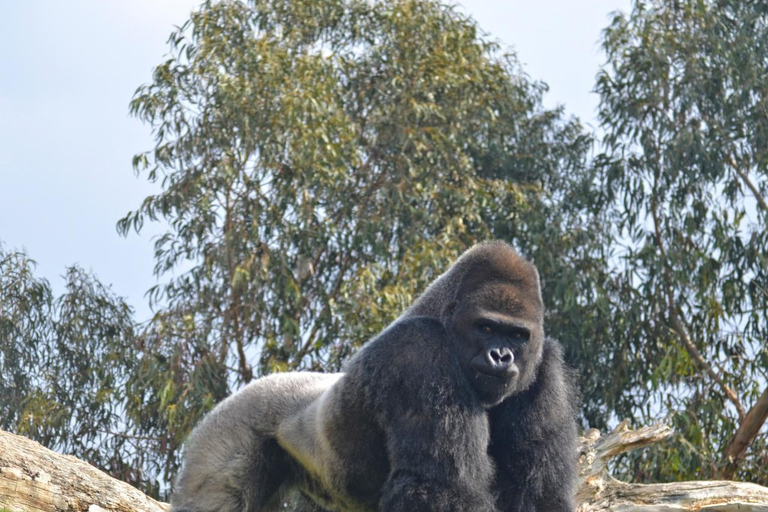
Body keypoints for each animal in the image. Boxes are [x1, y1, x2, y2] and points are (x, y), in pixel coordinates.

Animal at [171, 243, 580, 512]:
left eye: (517, 335)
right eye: (486, 327)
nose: (501, 356)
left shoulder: (544, 367)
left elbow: (535, 494)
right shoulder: (419, 350)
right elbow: (438, 489)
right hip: (227, 431)